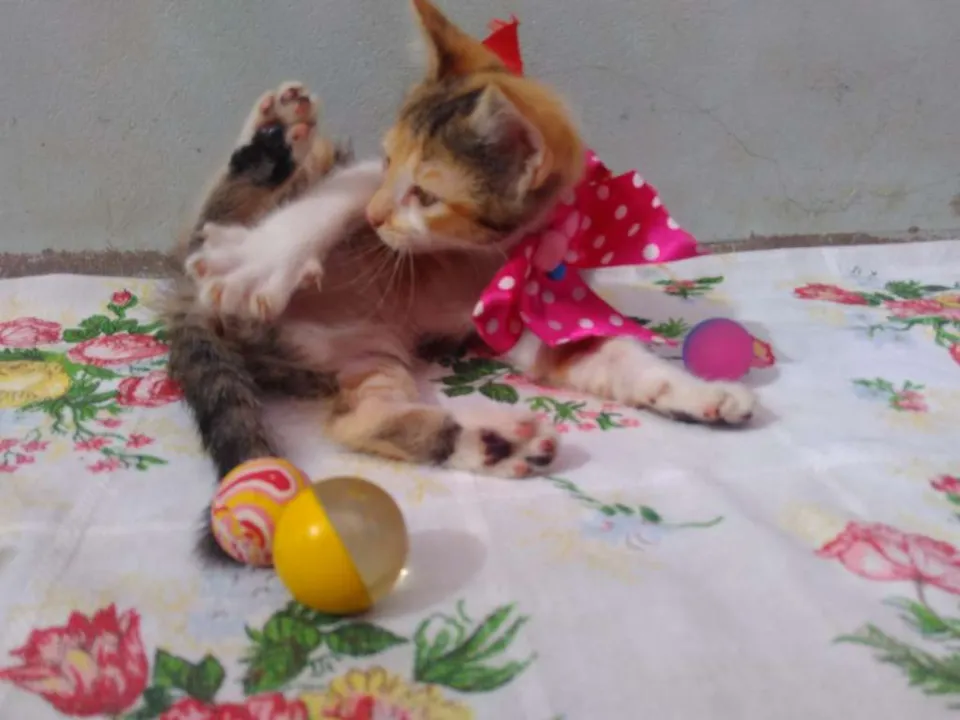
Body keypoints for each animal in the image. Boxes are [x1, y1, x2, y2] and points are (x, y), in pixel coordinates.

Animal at [164, 0, 756, 561]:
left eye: (425, 196)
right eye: (387, 160)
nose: (378, 217)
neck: (485, 254)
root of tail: (184, 307)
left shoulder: (530, 309)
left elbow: (614, 357)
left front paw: (697, 392)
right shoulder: (362, 184)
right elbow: (339, 197)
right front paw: (261, 260)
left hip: (358, 351)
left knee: (361, 421)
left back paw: (495, 444)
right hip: (258, 228)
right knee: (217, 220)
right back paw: (270, 145)